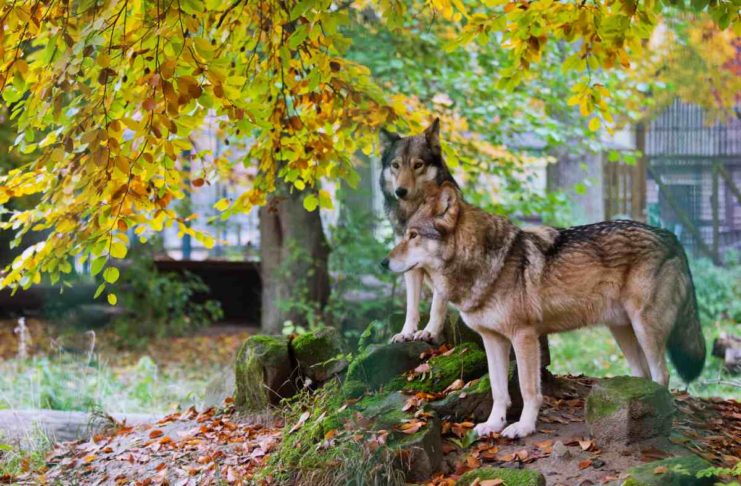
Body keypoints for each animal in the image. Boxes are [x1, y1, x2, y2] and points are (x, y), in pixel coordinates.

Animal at [379, 118, 460, 343]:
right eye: (396, 165)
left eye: (418, 165)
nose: (400, 191)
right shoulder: (409, 264)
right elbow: (411, 306)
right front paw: (406, 333)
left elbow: (436, 306)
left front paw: (429, 331)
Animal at [382, 182, 706, 438]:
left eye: (413, 235)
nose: (384, 263)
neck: (486, 262)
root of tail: (672, 237)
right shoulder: (492, 340)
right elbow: (498, 389)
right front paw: (494, 424)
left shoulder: (524, 337)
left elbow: (528, 390)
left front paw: (523, 428)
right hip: (622, 331)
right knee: (644, 374)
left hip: (644, 327)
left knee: (663, 375)